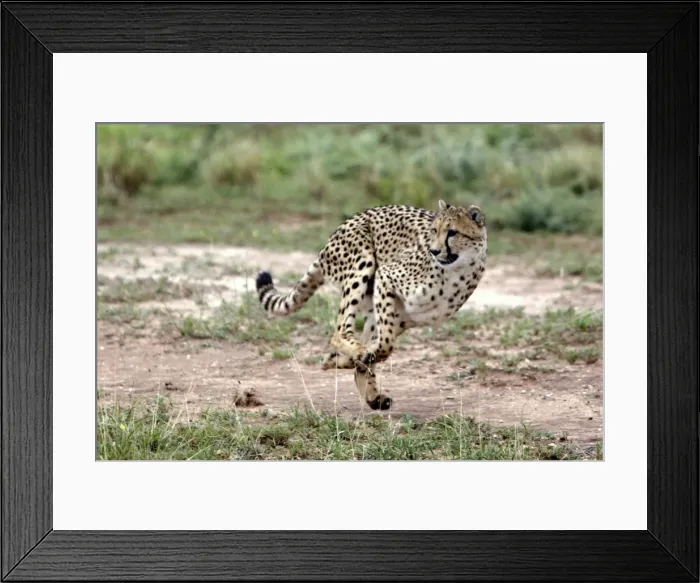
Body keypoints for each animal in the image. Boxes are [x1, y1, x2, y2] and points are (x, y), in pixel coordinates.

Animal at [255, 199, 487, 411]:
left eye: (453, 232)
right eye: (434, 230)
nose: (434, 251)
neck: (455, 270)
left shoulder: (405, 316)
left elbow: (380, 346)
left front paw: (348, 360)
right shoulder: (386, 277)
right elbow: (385, 345)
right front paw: (361, 355)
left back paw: (366, 387)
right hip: (362, 265)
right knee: (340, 331)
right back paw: (356, 357)